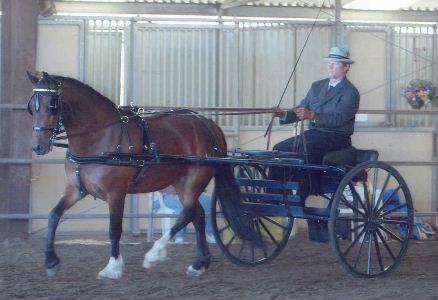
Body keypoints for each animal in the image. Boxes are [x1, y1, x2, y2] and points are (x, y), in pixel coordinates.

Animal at [26, 71, 253, 278]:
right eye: (32, 107)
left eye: (52, 105)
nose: (38, 146)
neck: (100, 137)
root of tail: (207, 123)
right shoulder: (75, 189)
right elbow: (54, 215)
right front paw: (51, 261)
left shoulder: (116, 193)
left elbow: (114, 229)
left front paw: (113, 267)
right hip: (181, 183)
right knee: (197, 215)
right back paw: (199, 264)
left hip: (195, 181)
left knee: (188, 213)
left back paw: (155, 254)